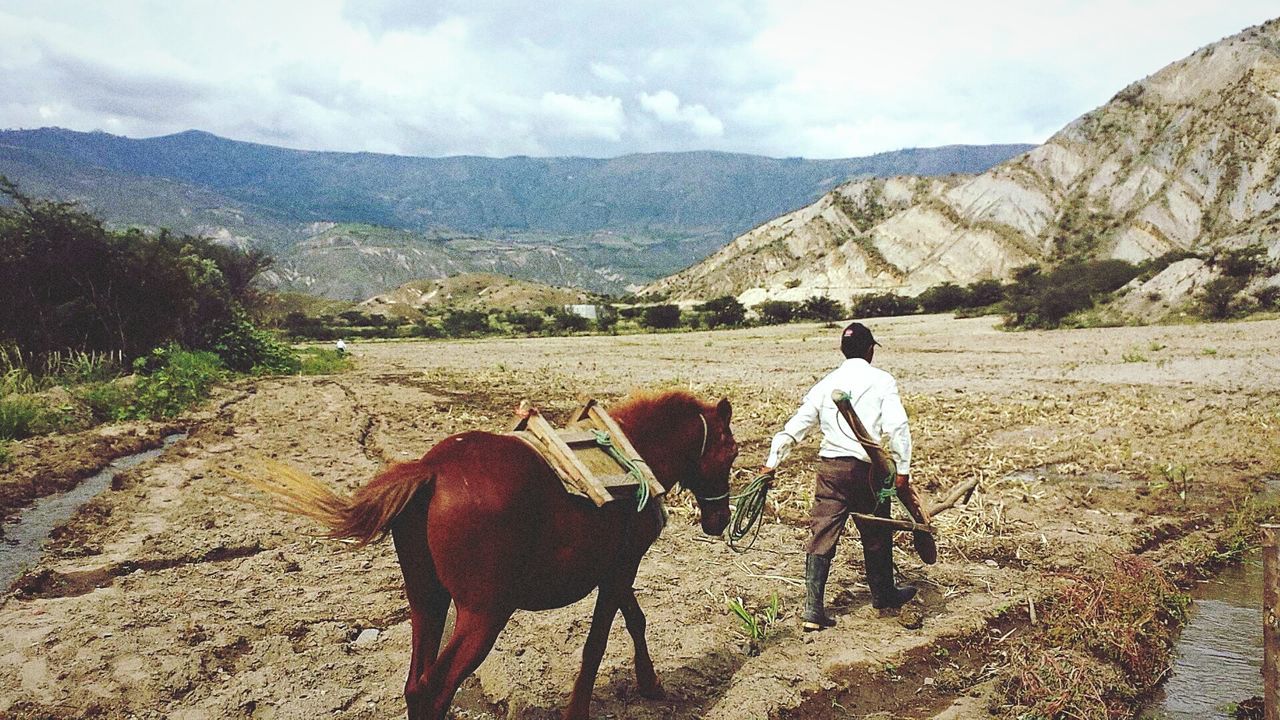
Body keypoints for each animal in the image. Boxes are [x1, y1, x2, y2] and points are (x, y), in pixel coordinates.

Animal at [244, 389, 737, 712]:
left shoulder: (614, 570)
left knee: (415, 686)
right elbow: (598, 643)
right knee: (436, 688)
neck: (631, 452)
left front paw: (651, 685)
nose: (719, 520)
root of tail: (432, 469)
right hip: (484, 614)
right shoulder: (620, 569)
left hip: (427, 600)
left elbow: (635, 621)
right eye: (732, 454)